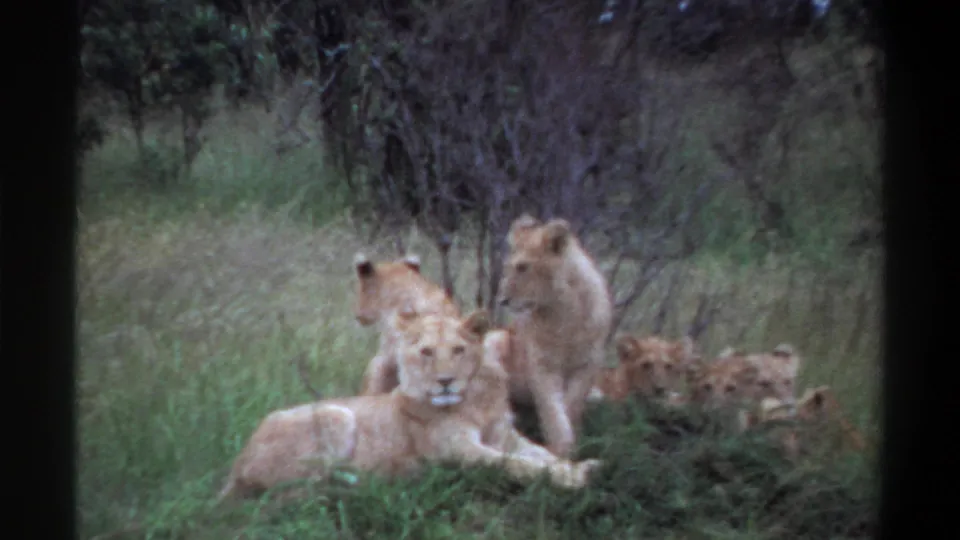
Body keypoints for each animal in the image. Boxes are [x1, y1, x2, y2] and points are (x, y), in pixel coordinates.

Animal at [217, 309, 601, 501]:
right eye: (426, 352)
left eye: (458, 350)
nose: (445, 381)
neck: (476, 401)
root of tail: (236, 466)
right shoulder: (458, 451)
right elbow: (516, 465)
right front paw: (574, 478)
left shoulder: (507, 437)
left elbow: (542, 455)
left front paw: (580, 466)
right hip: (335, 414)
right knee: (302, 488)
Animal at [494, 214, 613, 458]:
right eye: (508, 267)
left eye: (523, 267)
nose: (502, 300)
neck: (563, 314)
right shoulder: (542, 366)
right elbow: (552, 410)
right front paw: (560, 448)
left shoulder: (588, 365)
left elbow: (571, 405)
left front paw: (571, 443)